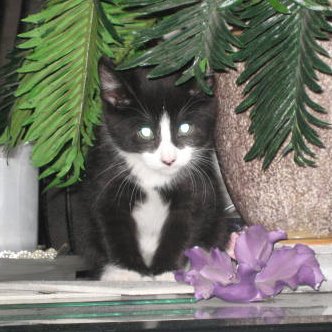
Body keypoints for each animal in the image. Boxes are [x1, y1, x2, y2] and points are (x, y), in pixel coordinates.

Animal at [78, 57, 230, 280]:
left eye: (185, 128)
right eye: (145, 132)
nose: (169, 160)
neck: (154, 177)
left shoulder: (196, 188)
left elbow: (185, 226)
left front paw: (166, 271)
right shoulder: (105, 177)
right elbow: (112, 224)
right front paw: (126, 272)